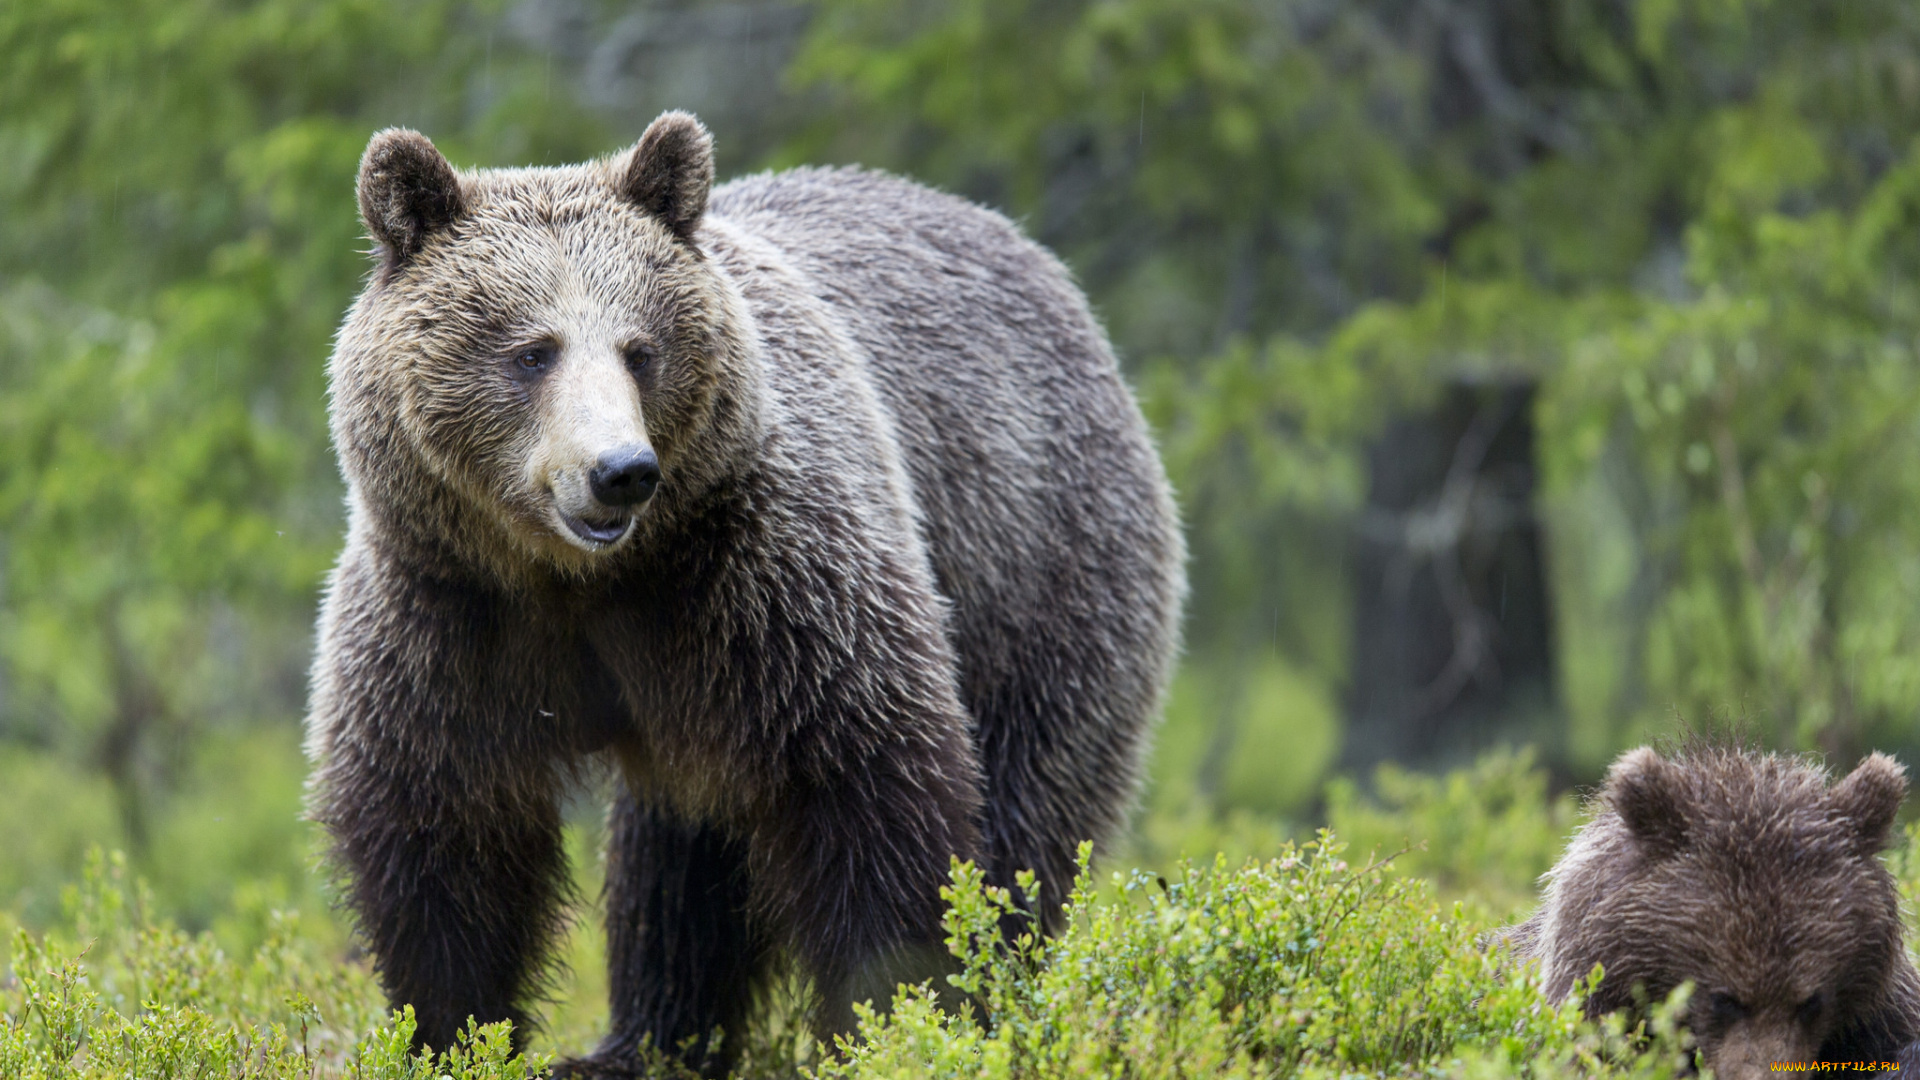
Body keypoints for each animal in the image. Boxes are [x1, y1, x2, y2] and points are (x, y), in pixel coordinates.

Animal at [303, 107, 1182, 1068]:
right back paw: (640, 1044)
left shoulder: (764, 583)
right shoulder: (452, 612)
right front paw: (456, 1033)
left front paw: (891, 1019)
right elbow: (442, 833)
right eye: (533, 351)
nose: (620, 472)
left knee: (1030, 801)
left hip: (1036, 565)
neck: (582, 580)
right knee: (676, 870)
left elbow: (868, 784)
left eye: (639, 350)